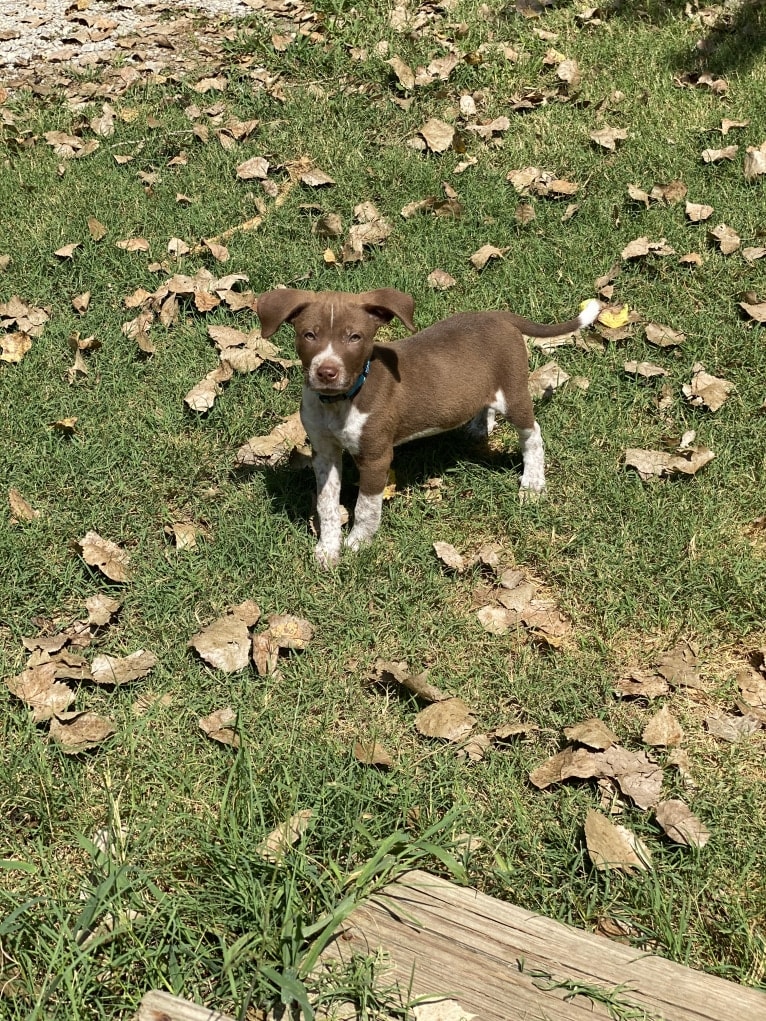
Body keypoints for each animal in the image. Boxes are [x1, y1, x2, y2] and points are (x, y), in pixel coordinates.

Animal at [261, 287, 604, 571]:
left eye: (354, 337)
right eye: (309, 335)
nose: (326, 372)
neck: (339, 401)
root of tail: (498, 316)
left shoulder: (375, 457)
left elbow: (366, 507)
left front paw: (358, 545)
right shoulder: (324, 452)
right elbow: (327, 504)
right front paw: (328, 549)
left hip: (513, 392)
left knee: (533, 434)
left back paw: (532, 482)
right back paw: (478, 427)